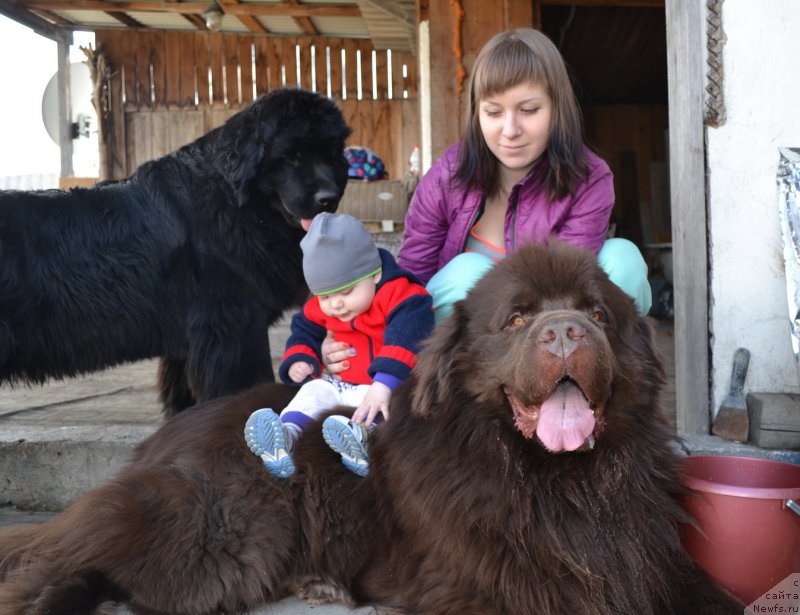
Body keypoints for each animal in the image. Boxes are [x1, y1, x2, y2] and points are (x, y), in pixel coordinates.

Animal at [0, 89, 350, 416]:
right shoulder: (231, 326)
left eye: (332, 153)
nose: (328, 197)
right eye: (291, 155)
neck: (232, 203)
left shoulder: (192, 341)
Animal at [0, 242, 744, 615]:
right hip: (223, 533)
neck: (558, 480)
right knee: (76, 557)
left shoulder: (648, 561)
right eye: (516, 318)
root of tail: (161, 436)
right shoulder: (493, 582)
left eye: (595, 312)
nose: (566, 332)